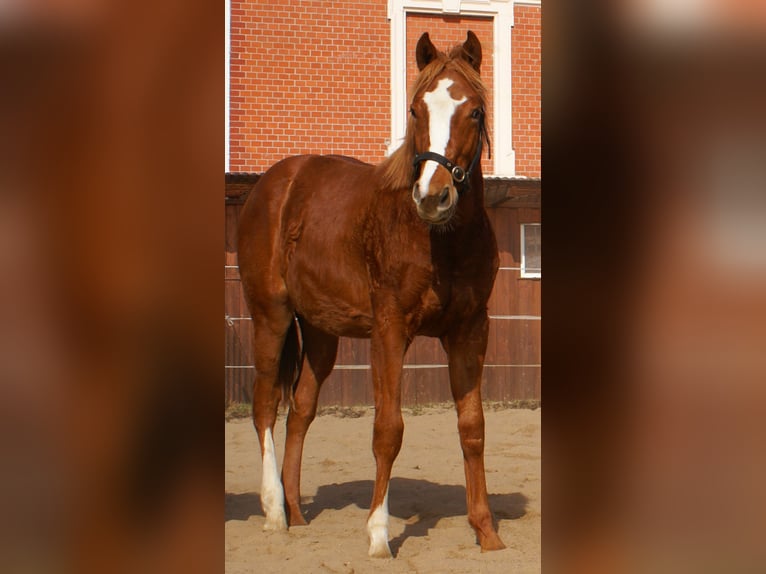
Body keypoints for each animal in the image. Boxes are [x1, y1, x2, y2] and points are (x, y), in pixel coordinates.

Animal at [237, 30, 505, 558]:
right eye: (415, 110)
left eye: (474, 112)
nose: (432, 197)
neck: (440, 241)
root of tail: (273, 186)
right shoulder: (389, 330)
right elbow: (388, 429)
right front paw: (379, 533)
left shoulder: (470, 332)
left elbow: (473, 428)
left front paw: (486, 531)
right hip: (270, 318)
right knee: (264, 406)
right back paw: (275, 511)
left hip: (321, 333)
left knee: (300, 411)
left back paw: (297, 512)